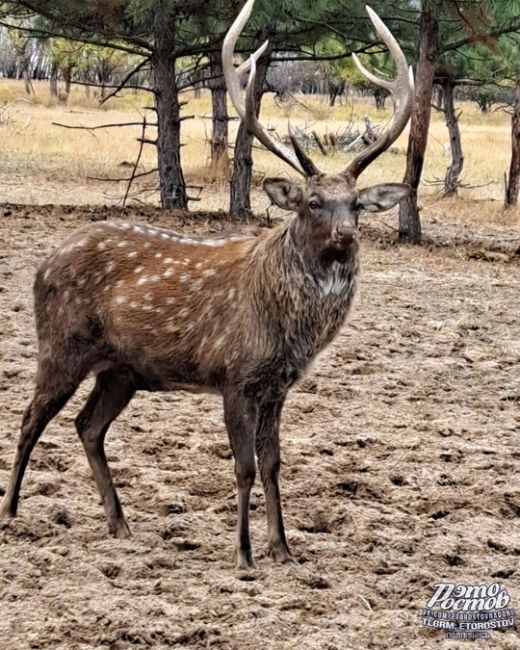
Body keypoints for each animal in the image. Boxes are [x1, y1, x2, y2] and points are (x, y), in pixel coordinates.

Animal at [0, 0, 414, 568]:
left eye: (355, 204)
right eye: (312, 202)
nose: (346, 237)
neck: (290, 332)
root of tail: (43, 263)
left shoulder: (278, 386)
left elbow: (273, 463)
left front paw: (283, 548)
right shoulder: (236, 375)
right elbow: (243, 466)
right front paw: (244, 555)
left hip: (122, 370)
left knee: (87, 426)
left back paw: (120, 524)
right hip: (61, 344)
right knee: (28, 419)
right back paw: (11, 513)